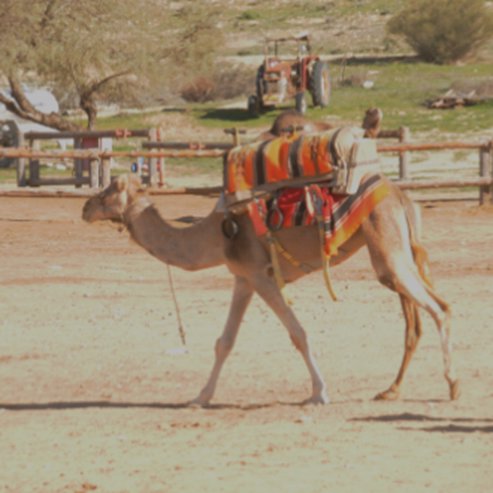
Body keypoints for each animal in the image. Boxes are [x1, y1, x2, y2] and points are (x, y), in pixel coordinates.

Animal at [82, 172, 460, 404]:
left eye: (110, 188)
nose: (85, 207)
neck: (214, 236)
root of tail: (401, 197)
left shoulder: (262, 276)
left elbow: (298, 333)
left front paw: (320, 392)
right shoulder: (243, 278)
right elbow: (224, 342)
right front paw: (200, 396)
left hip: (387, 251)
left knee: (438, 308)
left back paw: (452, 384)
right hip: (400, 249)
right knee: (425, 313)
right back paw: (392, 390)